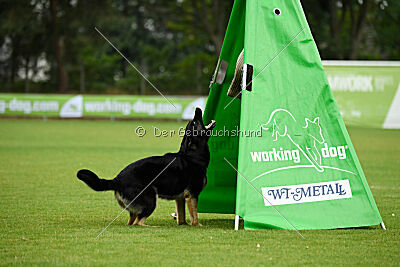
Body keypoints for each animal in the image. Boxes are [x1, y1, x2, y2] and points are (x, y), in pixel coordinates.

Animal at [77, 108, 217, 227]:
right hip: (150, 200)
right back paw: (153, 226)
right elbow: (195, 216)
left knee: (131, 222)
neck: (192, 154)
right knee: (138, 223)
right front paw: (197, 225)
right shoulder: (192, 195)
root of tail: (117, 179)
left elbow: (182, 218)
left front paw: (184, 225)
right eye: (195, 122)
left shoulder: (181, 198)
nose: (197, 109)